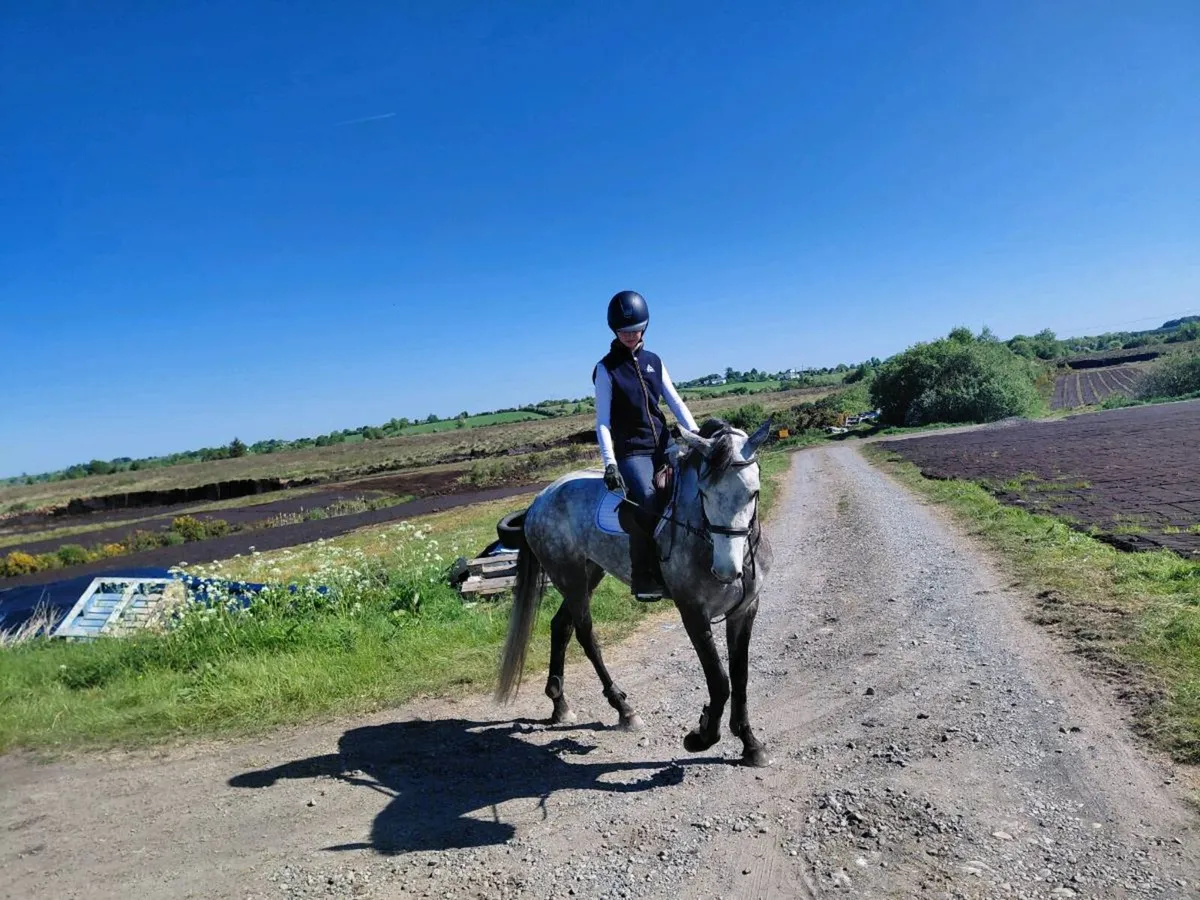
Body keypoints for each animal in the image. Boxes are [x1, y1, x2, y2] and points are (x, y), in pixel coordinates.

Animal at [494, 417, 775, 766]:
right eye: (704, 493)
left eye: (753, 493)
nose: (725, 571)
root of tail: (540, 500)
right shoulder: (693, 613)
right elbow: (720, 681)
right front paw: (701, 736)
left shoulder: (745, 610)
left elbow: (740, 677)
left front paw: (750, 743)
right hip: (569, 577)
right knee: (585, 633)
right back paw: (623, 709)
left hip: (588, 573)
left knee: (561, 626)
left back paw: (560, 705)